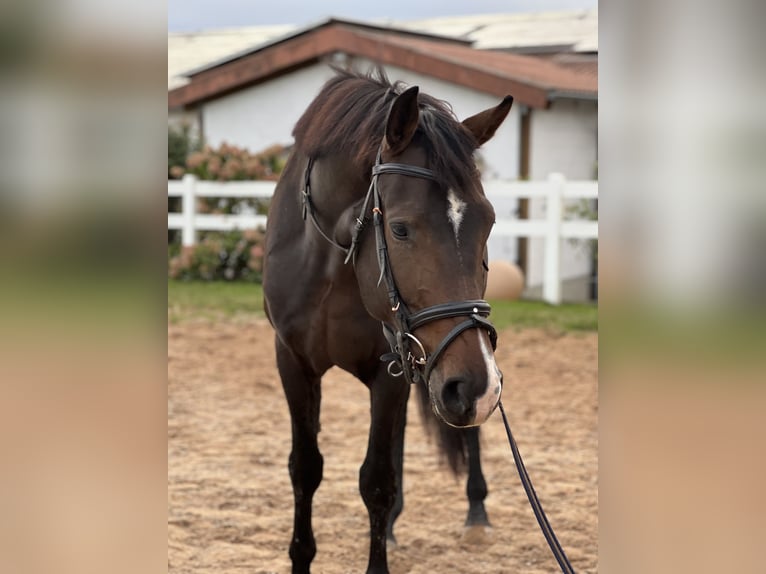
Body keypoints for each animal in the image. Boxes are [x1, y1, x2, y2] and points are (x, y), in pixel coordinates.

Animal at [264, 68, 516, 574]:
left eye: (489, 224)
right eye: (399, 228)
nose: (474, 387)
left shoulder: (393, 369)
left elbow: (377, 481)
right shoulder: (294, 361)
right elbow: (306, 468)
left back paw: (476, 512)